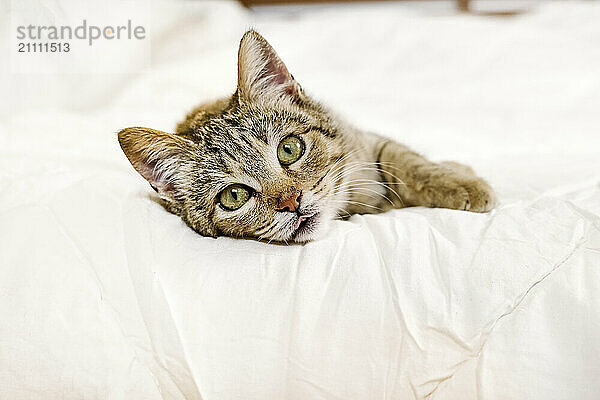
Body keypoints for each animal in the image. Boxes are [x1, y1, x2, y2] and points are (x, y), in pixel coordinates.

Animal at [118, 29, 496, 242]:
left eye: (289, 149)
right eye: (234, 196)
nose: (291, 202)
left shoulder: (364, 142)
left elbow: (404, 158)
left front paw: (459, 181)